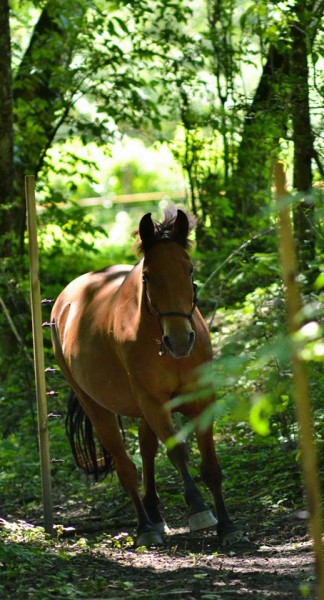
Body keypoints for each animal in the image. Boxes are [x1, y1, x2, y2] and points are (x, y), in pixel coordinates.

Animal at [51, 209, 240, 548]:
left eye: (189, 269)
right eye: (148, 276)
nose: (179, 341)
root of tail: (64, 303)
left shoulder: (202, 397)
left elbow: (210, 465)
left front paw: (228, 525)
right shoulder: (154, 402)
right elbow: (177, 451)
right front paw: (199, 509)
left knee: (146, 448)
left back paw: (155, 513)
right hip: (97, 406)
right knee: (126, 467)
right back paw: (146, 526)